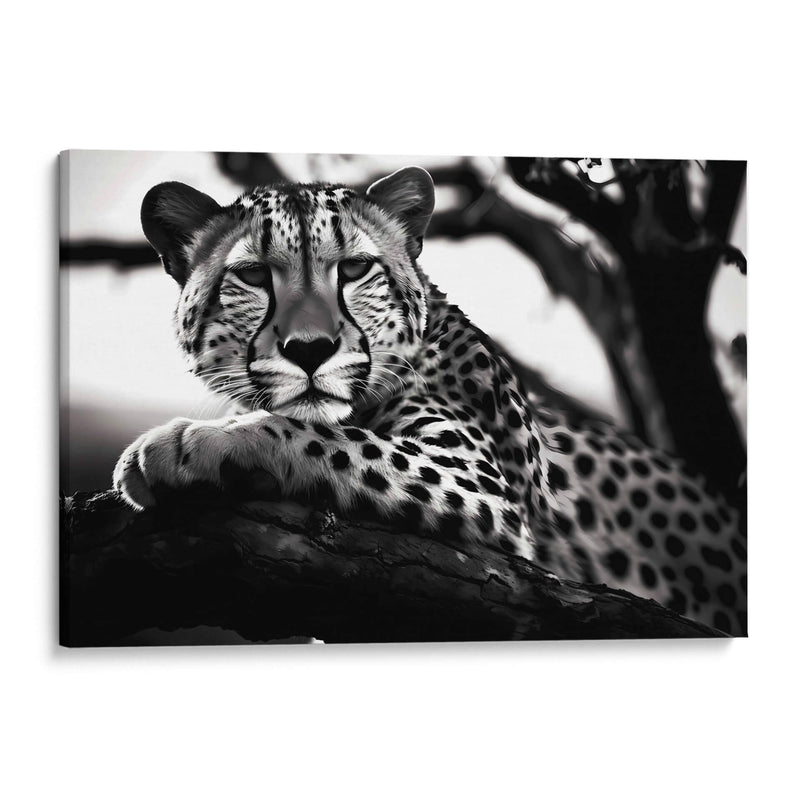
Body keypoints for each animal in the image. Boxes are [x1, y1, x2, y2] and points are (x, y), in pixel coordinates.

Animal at [114, 166, 747, 635]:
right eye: (252, 276)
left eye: (355, 269)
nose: (310, 349)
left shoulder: (481, 484)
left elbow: (326, 435)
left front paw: (188, 442)